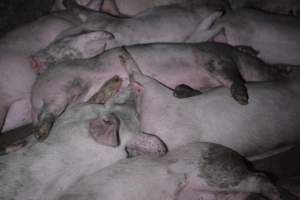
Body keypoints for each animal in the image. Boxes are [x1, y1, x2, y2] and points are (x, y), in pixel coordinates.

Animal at [29, 43, 290, 141]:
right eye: (266, 63)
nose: (284, 71)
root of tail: (34, 94)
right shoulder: (220, 59)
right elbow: (231, 77)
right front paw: (242, 100)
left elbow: (196, 90)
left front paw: (181, 91)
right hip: (62, 88)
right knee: (50, 112)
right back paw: (42, 134)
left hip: (75, 96)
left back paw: (112, 85)